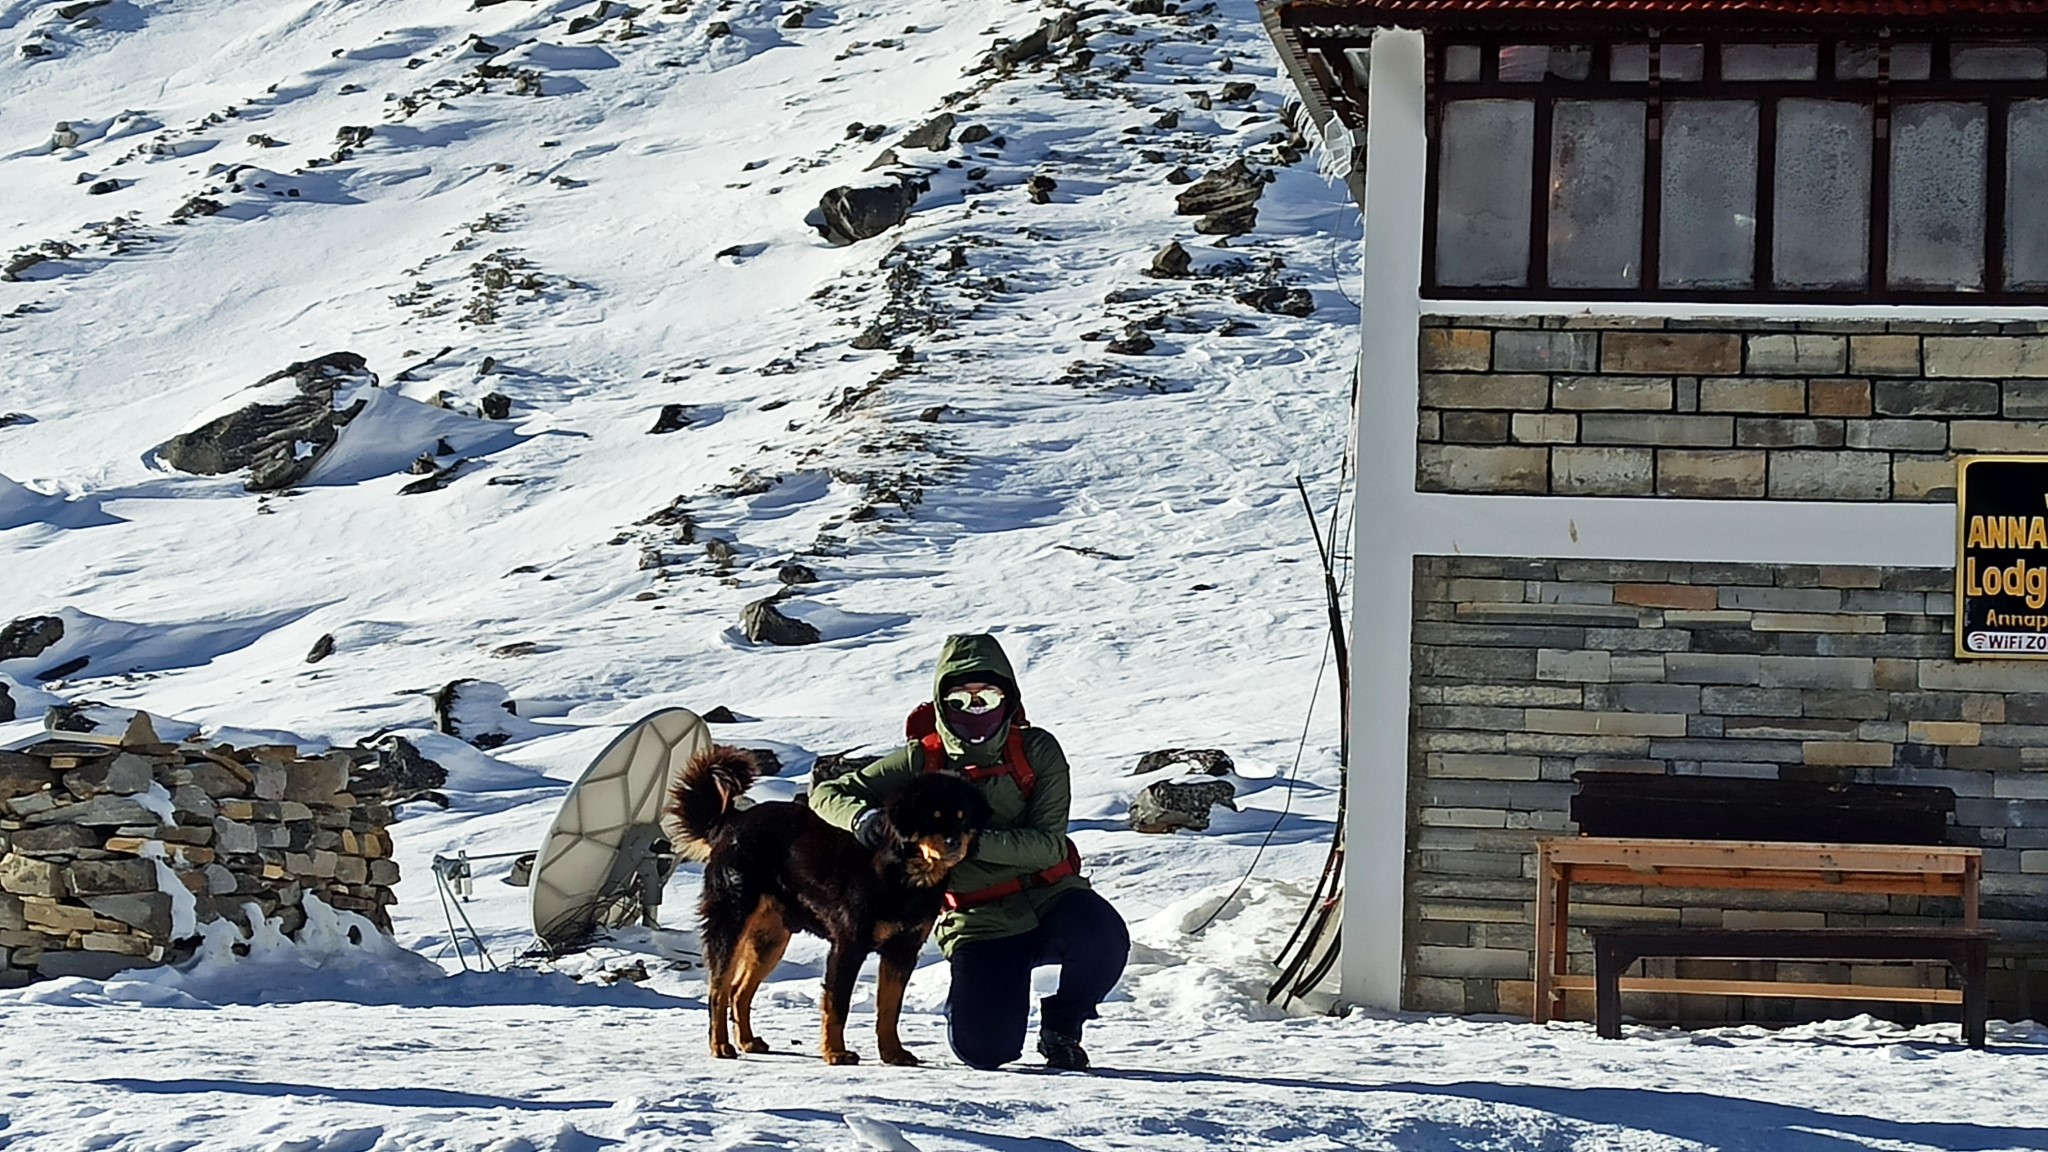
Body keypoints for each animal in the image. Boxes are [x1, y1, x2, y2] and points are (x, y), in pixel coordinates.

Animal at [667, 746, 987, 1057]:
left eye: (963, 817)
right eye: (933, 817)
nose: (955, 842)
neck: (903, 873)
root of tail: (730, 822)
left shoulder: (903, 950)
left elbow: (889, 1009)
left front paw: (893, 1053)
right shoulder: (848, 945)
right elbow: (837, 1006)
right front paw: (835, 1052)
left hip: (770, 939)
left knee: (739, 990)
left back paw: (748, 1041)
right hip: (732, 921)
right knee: (718, 990)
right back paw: (720, 1045)